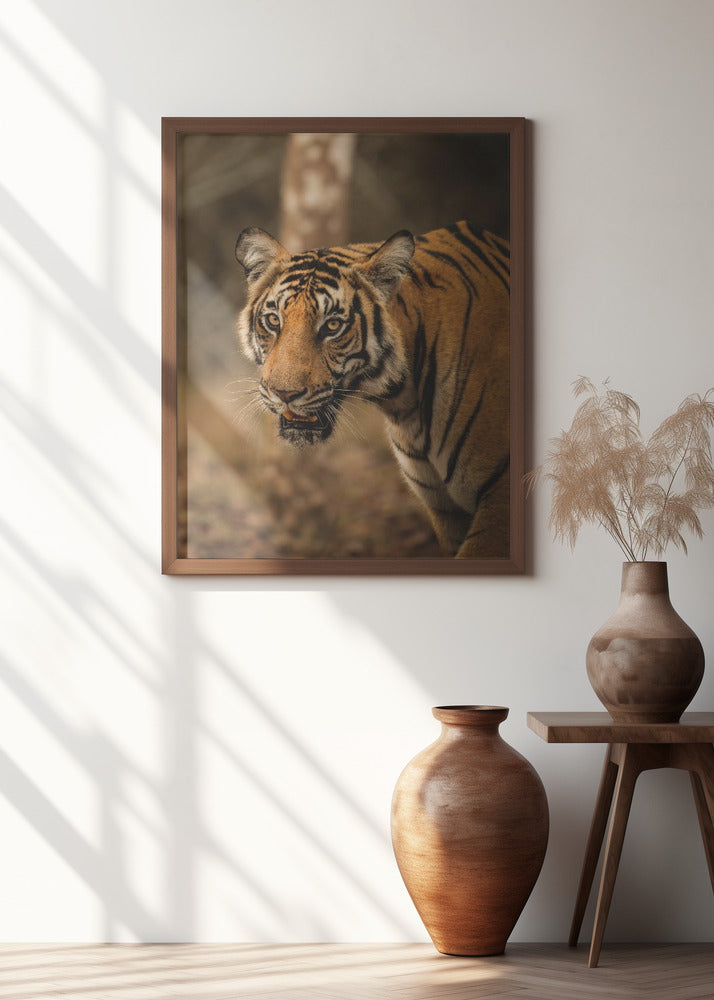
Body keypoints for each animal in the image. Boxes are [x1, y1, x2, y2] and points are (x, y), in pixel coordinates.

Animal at [234, 220, 510, 559]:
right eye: (273, 320)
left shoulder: (500, 500)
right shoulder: (447, 511)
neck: (404, 404)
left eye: (332, 326)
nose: (284, 393)